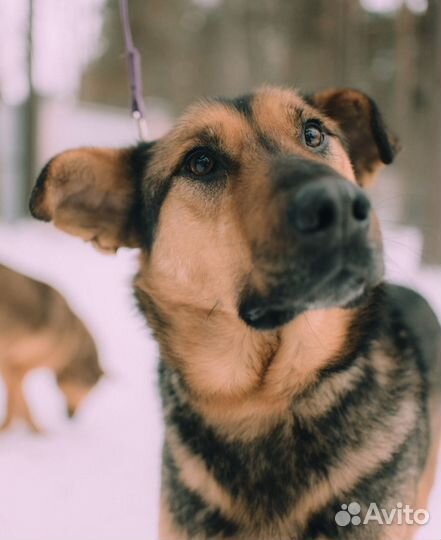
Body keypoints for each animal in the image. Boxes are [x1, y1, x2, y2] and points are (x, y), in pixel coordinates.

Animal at [0, 264, 102, 432]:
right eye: (91, 391)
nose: (72, 418)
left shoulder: (10, 367)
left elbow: (17, 403)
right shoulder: (16, 368)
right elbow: (21, 403)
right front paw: (36, 431)